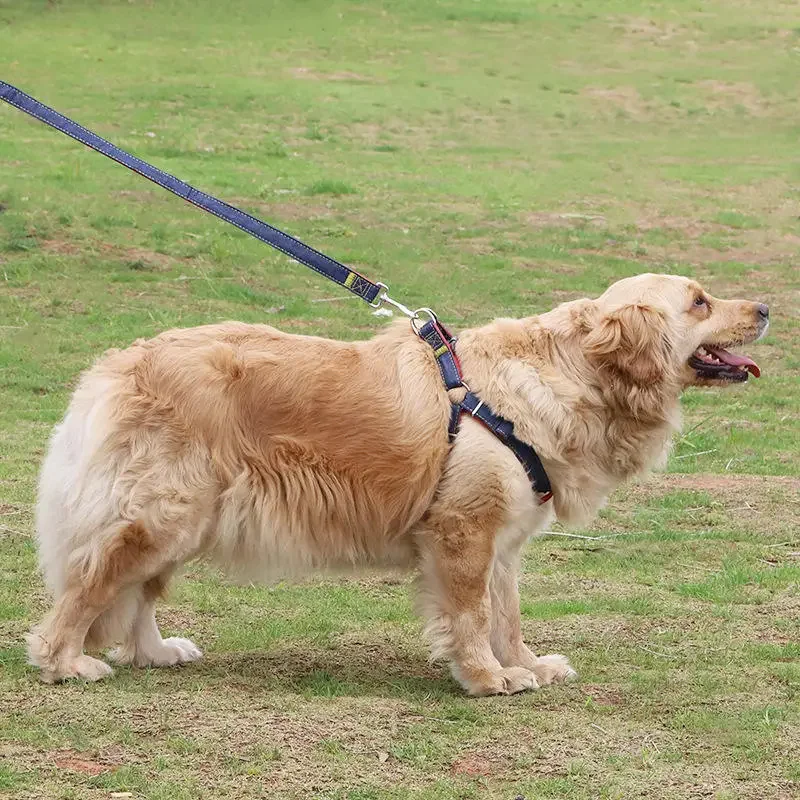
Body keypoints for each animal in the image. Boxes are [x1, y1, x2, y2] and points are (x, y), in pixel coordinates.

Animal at [28, 274, 768, 692]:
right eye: (700, 302)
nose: (764, 306)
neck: (571, 372)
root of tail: (119, 363)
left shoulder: (504, 541)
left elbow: (507, 614)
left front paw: (525, 665)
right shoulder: (464, 530)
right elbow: (471, 616)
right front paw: (486, 678)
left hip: (186, 519)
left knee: (137, 593)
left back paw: (154, 652)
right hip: (164, 513)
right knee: (92, 583)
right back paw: (66, 662)